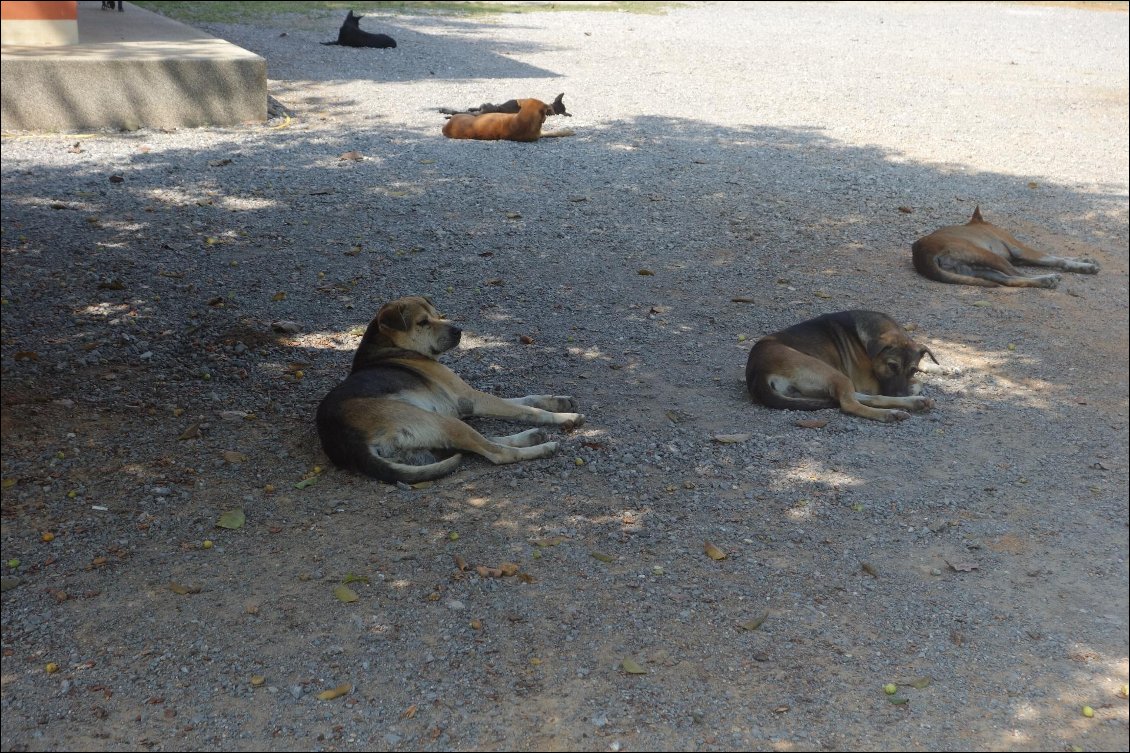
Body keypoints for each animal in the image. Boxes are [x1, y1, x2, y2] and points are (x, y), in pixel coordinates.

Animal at [316, 293, 583, 481]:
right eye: (423, 322)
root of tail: (346, 442)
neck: (389, 348)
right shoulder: (470, 398)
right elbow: (527, 410)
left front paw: (559, 401)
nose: (459, 330)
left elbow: (526, 399)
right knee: (496, 452)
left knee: (481, 443)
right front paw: (564, 416)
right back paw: (542, 447)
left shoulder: (469, 402)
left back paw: (531, 436)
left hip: (433, 437)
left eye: (438, 315)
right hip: (439, 420)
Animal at [745, 307, 931, 418]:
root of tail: (757, 371)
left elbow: (917, 382)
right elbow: (918, 383)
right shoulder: (869, 384)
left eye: (913, 370)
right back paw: (890, 414)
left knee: (862, 398)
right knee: (849, 404)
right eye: (892, 366)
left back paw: (914, 402)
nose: (900, 394)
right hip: (830, 372)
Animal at [913, 205, 1098, 287]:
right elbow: (1055, 258)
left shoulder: (1018, 258)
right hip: (989, 256)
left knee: (1011, 280)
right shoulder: (1020, 250)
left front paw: (1084, 262)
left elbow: (1059, 256)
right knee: (1018, 274)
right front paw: (1083, 265)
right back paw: (1047, 279)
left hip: (978, 269)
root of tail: (921, 253)